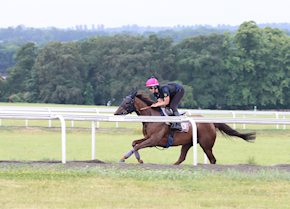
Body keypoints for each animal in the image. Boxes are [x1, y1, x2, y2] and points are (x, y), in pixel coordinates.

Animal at [114, 91, 255, 165]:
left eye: (127, 102)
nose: (116, 113)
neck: (153, 117)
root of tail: (211, 122)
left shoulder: (154, 140)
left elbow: (137, 146)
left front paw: (125, 158)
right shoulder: (148, 138)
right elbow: (134, 143)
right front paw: (139, 160)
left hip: (206, 145)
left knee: (213, 159)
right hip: (187, 143)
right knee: (181, 158)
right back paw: (173, 165)